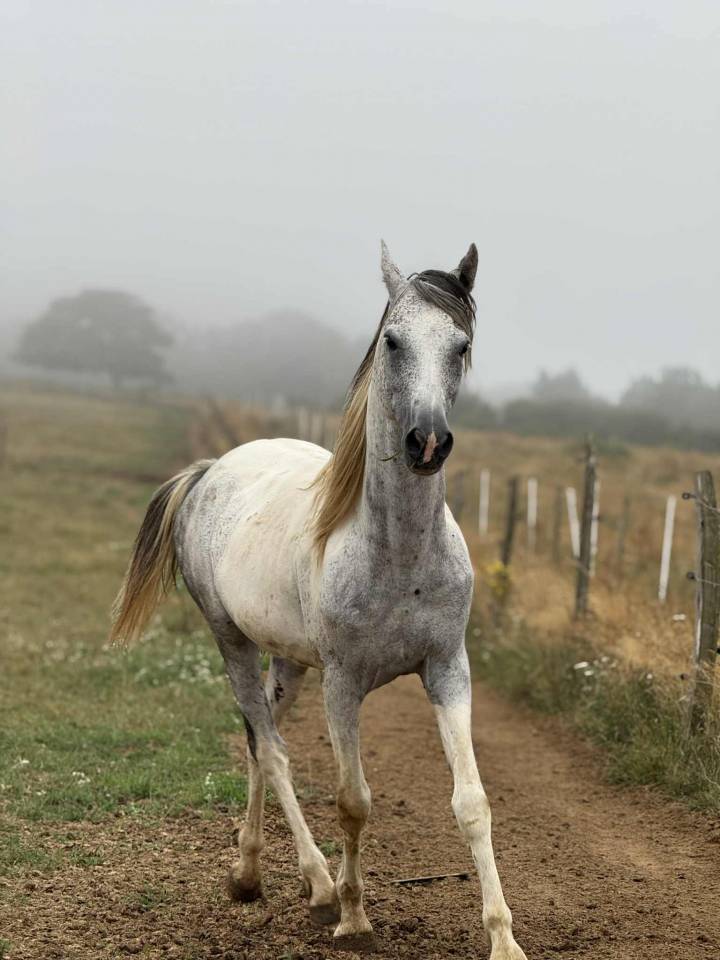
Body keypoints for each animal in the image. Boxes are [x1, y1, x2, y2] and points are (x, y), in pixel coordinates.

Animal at [110, 241, 528, 960]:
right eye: (392, 341)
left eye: (462, 345)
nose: (427, 442)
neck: (398, 555)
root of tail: (211, 470)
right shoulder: (345, 683)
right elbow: (353, 800)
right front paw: (354, 915)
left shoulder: (449, 669)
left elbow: (472, 802)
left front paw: (503, 940)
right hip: (232, 642)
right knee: (272, 747)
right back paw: (316, 883)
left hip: (289, 661)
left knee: (258, 740)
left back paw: (249, 873)